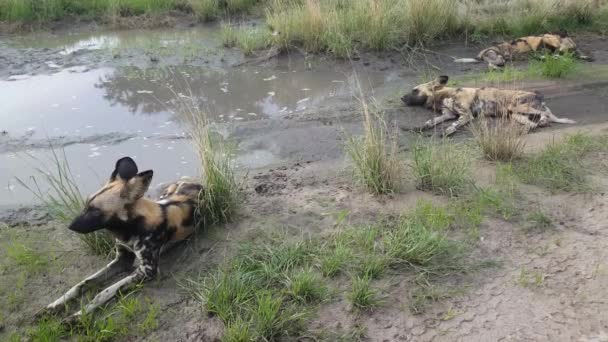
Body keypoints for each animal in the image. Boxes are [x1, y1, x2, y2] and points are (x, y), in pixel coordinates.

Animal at [38, 156, 204, 322]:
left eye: (95, 211)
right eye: (86, 205)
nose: (70, 226)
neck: (130, 229)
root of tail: (194, 181)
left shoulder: (147, 271)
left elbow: (103, 292)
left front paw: (78, 316)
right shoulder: (121, 260)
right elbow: (83, 283)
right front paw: (54, 306)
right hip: (166, 193)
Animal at [402, 75, 576, 136]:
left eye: (414, 90)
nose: (401, 97)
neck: (443, 96)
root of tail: (540, 97)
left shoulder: (465, 115)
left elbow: (453, 125)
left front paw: (448, 131)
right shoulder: (448, 114)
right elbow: (430, 122)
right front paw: (419, 128)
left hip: (518, 107)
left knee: (542, 117)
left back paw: (541, 122)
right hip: (515, 114)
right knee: (533, 124)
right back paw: (523, 130)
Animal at [454, 32, 592, 69]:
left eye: (575, 49)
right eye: (571, 49)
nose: (575, 52)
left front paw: (585, 57)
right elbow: (557, 56)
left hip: (500, 58)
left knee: (492, 65)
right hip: (498, 57)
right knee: (492, 65)